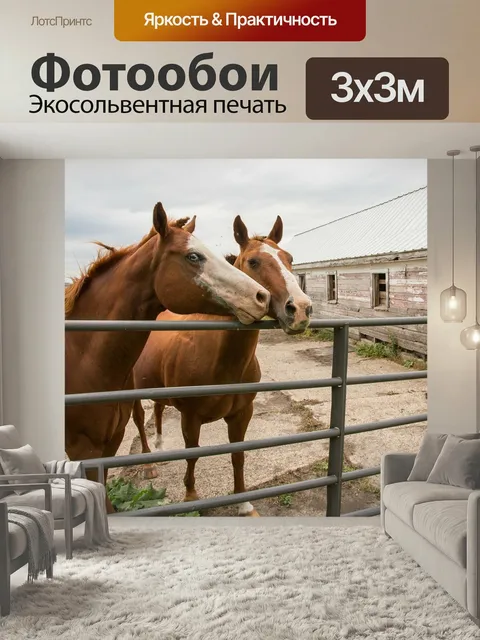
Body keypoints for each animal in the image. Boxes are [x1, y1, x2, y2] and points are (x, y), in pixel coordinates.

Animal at [65, 202, 270, 505]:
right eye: (193, 256)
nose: (262, 297)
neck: (80, 358)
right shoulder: (83, 449)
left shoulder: (109, 445)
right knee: (142, 418)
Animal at [131, 215, 313, 516]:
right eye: (253, 261)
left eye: (289, 258)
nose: (300, 309)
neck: (222, 361)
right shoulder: (190, 417)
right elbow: (192, 454)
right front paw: (191, 496)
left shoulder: (242, 414)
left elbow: (237, 455)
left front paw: (244, 504)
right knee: (138, 419)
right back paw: (148, 464)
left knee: (157, 409)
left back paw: (159, 445)